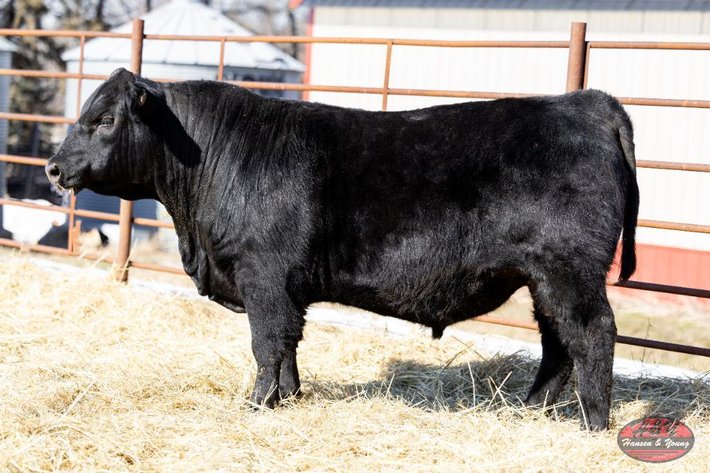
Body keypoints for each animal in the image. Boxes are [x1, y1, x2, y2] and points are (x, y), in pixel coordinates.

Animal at [46, 68, 639, 431]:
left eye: (104, 119)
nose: (52, 167)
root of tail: (587, 102)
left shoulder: (263, 275)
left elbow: (267, 344)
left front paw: (257, 405)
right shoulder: (285, 287)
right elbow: (288, 346)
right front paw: (287, 398)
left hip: (568, 269)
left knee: (591, 334)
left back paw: (594, 423)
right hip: (543, 277)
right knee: (558, 342)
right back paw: (529, 411)